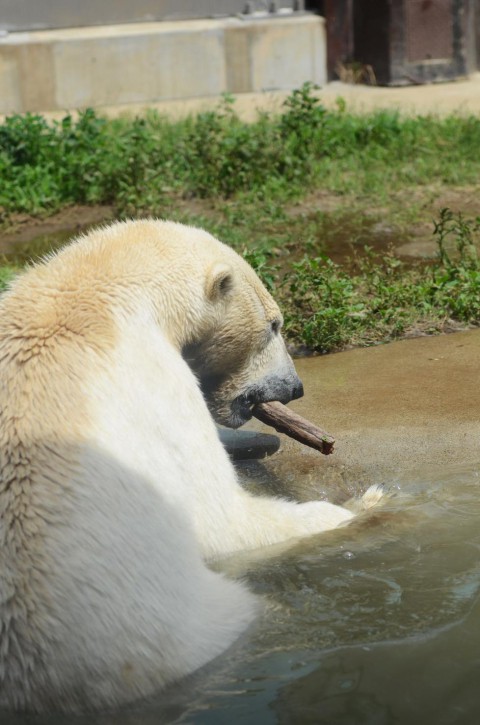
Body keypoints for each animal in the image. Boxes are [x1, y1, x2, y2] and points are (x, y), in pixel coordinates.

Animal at [0, 218, 378, 708]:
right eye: (274, 324)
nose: (295, 388)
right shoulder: (150, 382)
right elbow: (220, 518)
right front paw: (362, 504)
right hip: (174, 630)